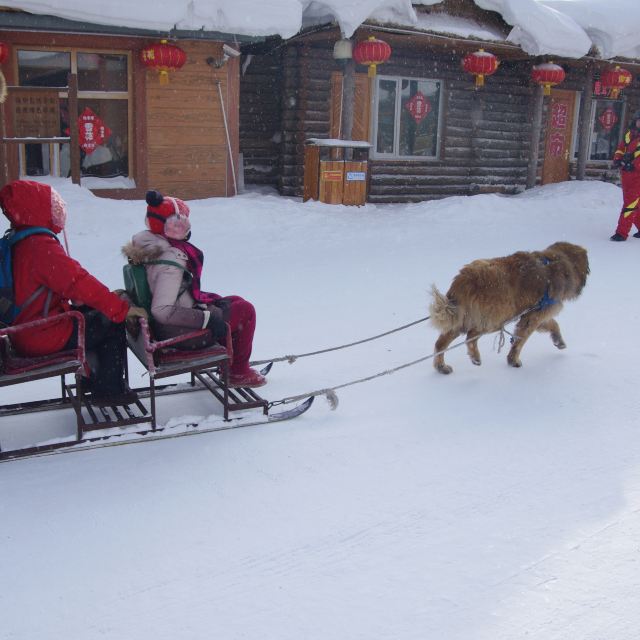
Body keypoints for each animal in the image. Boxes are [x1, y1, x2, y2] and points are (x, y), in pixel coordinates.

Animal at [430, 244, 592, 376]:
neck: (556, 263)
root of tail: (465, 279)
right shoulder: (534, 316)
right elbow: (521, 340)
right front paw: (513, 360)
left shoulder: (534, 313)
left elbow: (553, 324)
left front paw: (558, 340)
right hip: (495, 317)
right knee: (471, 336)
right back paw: (475, 356)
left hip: (461, 318)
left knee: (441, 343)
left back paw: (441, 366)